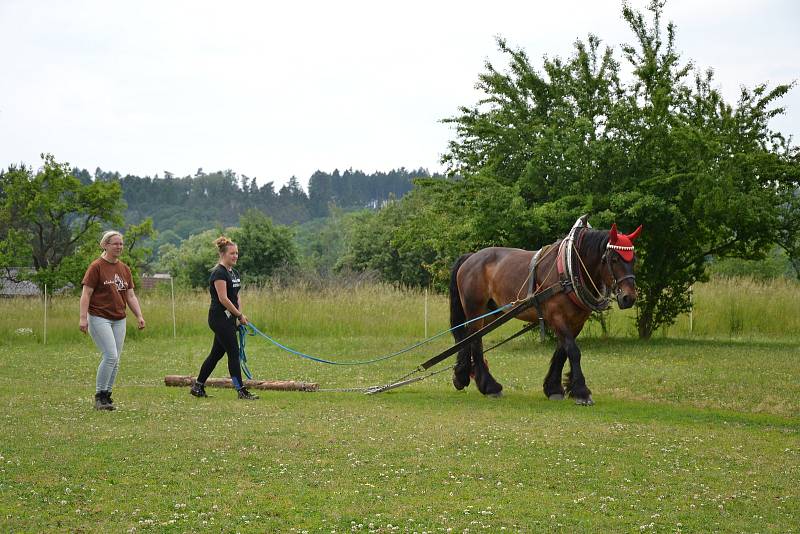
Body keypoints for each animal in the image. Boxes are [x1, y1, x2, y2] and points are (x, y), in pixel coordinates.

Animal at [450, 218, 644, 406]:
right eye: (614, 259)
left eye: (633, 259)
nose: (629, 297)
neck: (570, 268)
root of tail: (471, 257)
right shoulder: (556, 316)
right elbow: (573, 351)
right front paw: (582, 392)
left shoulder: (576, 321)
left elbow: (562, 351)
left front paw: (554, 388)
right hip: (475, 309)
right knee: (475, 341)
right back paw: (489, 386)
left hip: (490, 312)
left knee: (469, 337)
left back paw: (462, 376)